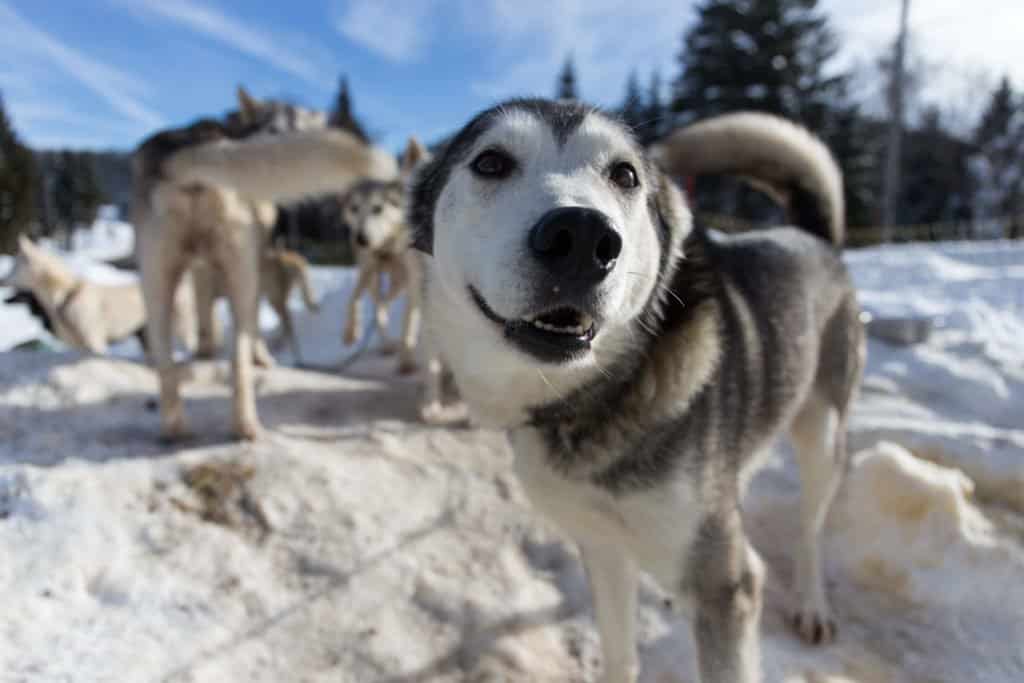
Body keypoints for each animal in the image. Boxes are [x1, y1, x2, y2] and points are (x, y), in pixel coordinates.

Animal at [2, 235, 195, 356]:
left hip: (182, 329)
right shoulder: (78, 347)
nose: (1, 279)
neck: (67, 295)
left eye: (14, 267)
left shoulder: (95, 342)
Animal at [405, 101, 864, 683]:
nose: (581, 235)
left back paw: (811, 603)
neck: (593, 400)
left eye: (624, 175)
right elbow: (619, 652)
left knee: (809, 528)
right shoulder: (603, 546)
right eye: (490, 162)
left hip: (823, 434)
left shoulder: (725, 587)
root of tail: (814, 238)